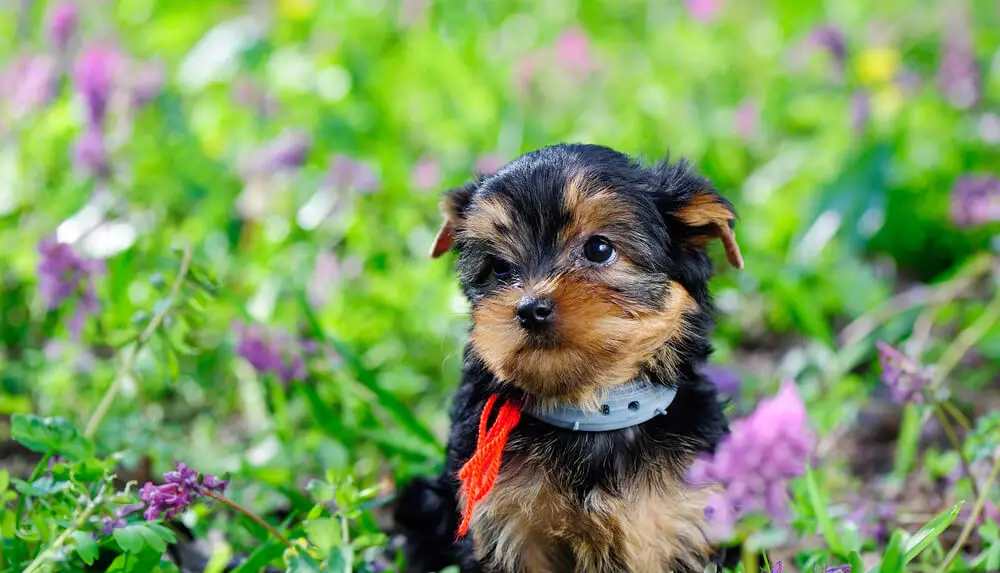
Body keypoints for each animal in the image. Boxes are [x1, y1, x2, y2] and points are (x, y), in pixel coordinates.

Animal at [394, 144, 748, 572]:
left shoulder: (684, 516)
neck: (592, 412)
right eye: (499, 268)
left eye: (599, 249)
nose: (530, 309)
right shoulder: (504, 522)